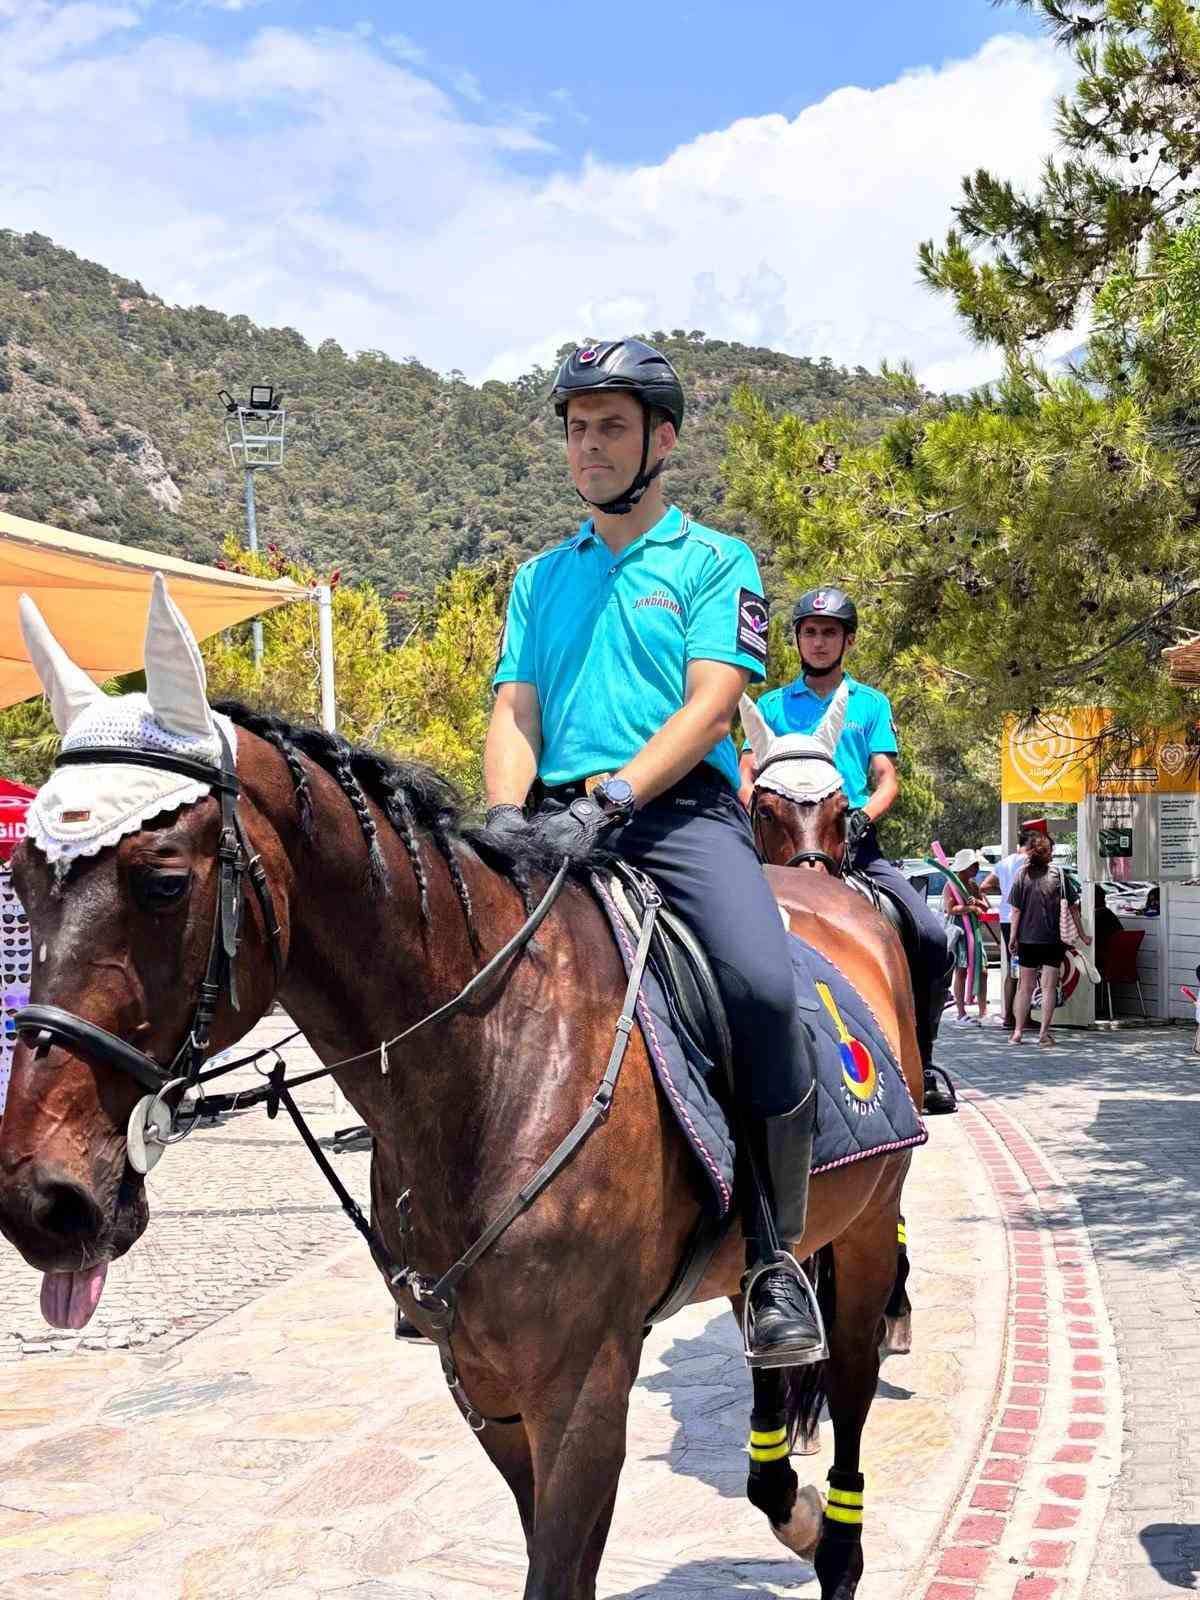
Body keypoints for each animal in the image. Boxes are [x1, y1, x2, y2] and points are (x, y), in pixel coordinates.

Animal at [0, 585, 921, 1600]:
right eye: (20, 881)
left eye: (163, 882)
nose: (42, 1202)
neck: (492, 1063)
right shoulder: (482, 1384)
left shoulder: (583, 1389)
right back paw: (785, 1492)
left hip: (868, 1231)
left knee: (850, 1378)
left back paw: (835, 1540)